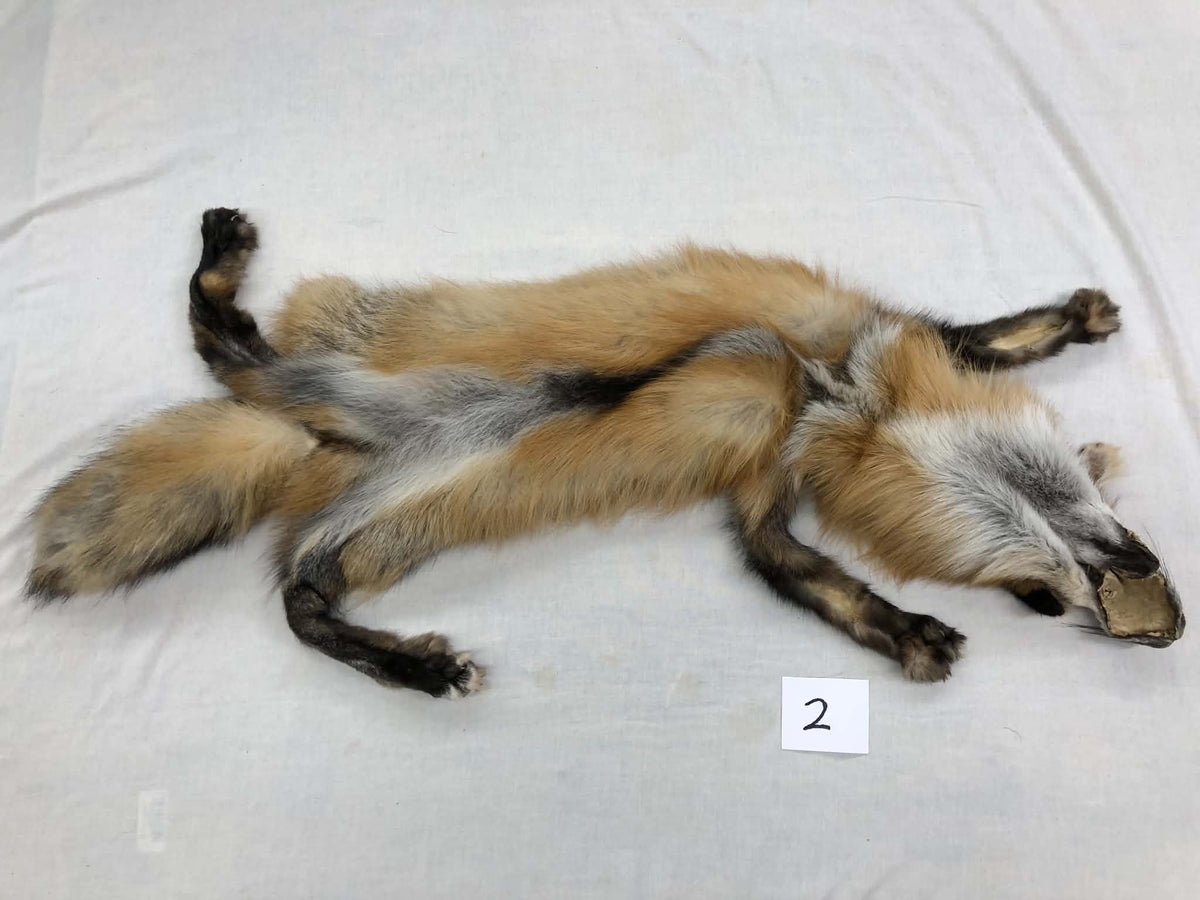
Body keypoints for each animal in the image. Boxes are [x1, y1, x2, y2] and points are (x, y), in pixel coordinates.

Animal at [26, 208, 1184, 697]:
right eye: (1115, 522)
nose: (1169, 630)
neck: (840, 406)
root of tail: (319, 438)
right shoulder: (874, 348)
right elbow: (989, 334)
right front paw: (1074, 318)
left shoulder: (766, 486)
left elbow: (802, 574)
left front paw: (895, 632)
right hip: (329, 390)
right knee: (222, 352)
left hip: (381, 513)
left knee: (299, 589)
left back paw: (399, 657)